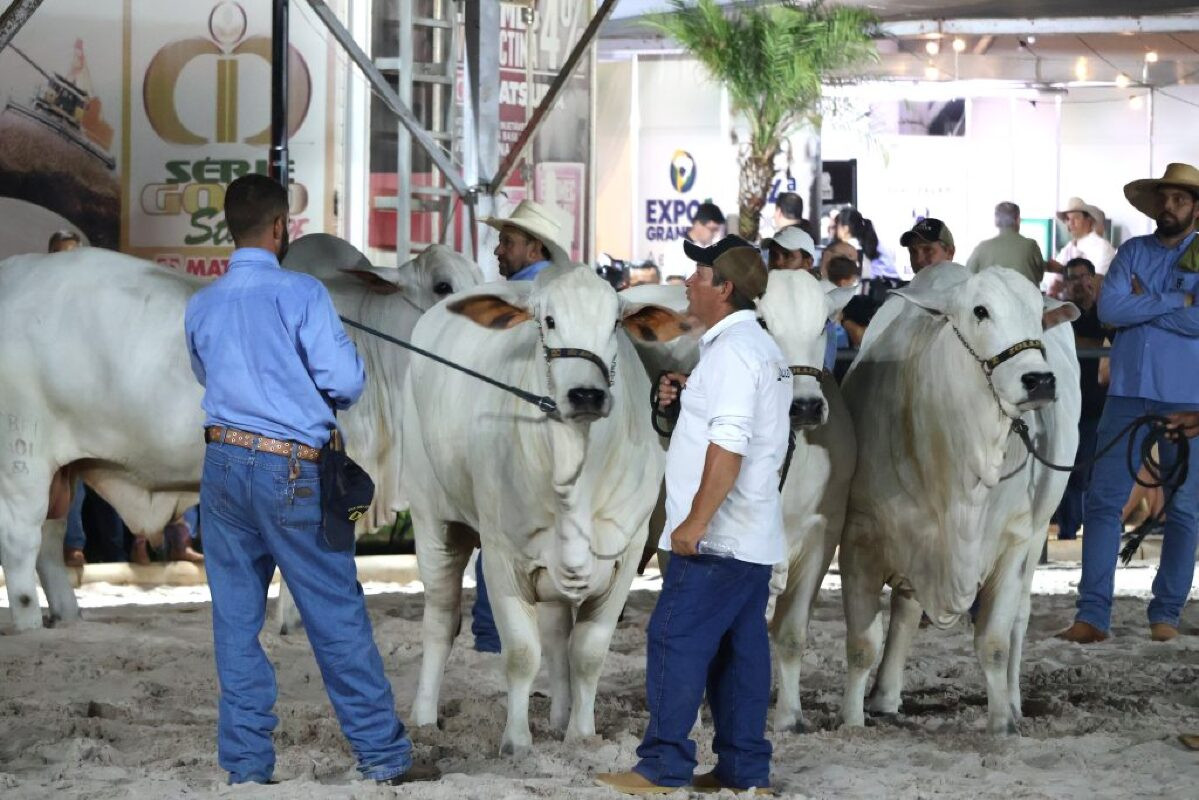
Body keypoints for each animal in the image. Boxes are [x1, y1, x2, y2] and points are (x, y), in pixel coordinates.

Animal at [0, 239, 477, 633]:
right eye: (442, 285)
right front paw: (292, 625)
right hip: (23, 461)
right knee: (21, 543)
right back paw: (28, 625)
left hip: (62, 471)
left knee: (49, 544)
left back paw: (68, 619)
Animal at [402, 266, 690, 753]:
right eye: (549, 321)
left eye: (614, 324)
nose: (586, 394)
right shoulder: (501, 556)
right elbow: (521, 653)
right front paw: (517, 742)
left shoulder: (626, 553)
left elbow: (588, 652)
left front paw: (582, 735)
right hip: (433, 520)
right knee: (440, 620)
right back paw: (423, 719)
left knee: (557, 635)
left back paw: (558, 717)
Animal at [839, 266, 1083, 734]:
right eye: (980, 311)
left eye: (1038, 312)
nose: (1039, 380)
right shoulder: (859, 536)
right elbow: (863, 643)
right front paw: (851, 722)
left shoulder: (1013, 541)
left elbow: (994, 641)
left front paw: (1001, 725)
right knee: (905, 610)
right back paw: (884, 696)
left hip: (1039, 529)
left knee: (1020, 620)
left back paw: (1015, 702)